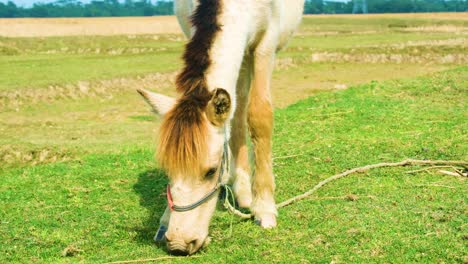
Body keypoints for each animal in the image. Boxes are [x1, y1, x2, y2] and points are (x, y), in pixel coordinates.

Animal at [136, 0, 304, 256]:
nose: (179, 244)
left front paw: (264, 207)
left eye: (211, 171)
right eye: (167, 169)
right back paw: (243, 190)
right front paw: (165, 220)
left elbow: (259, 115)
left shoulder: (266, 43)